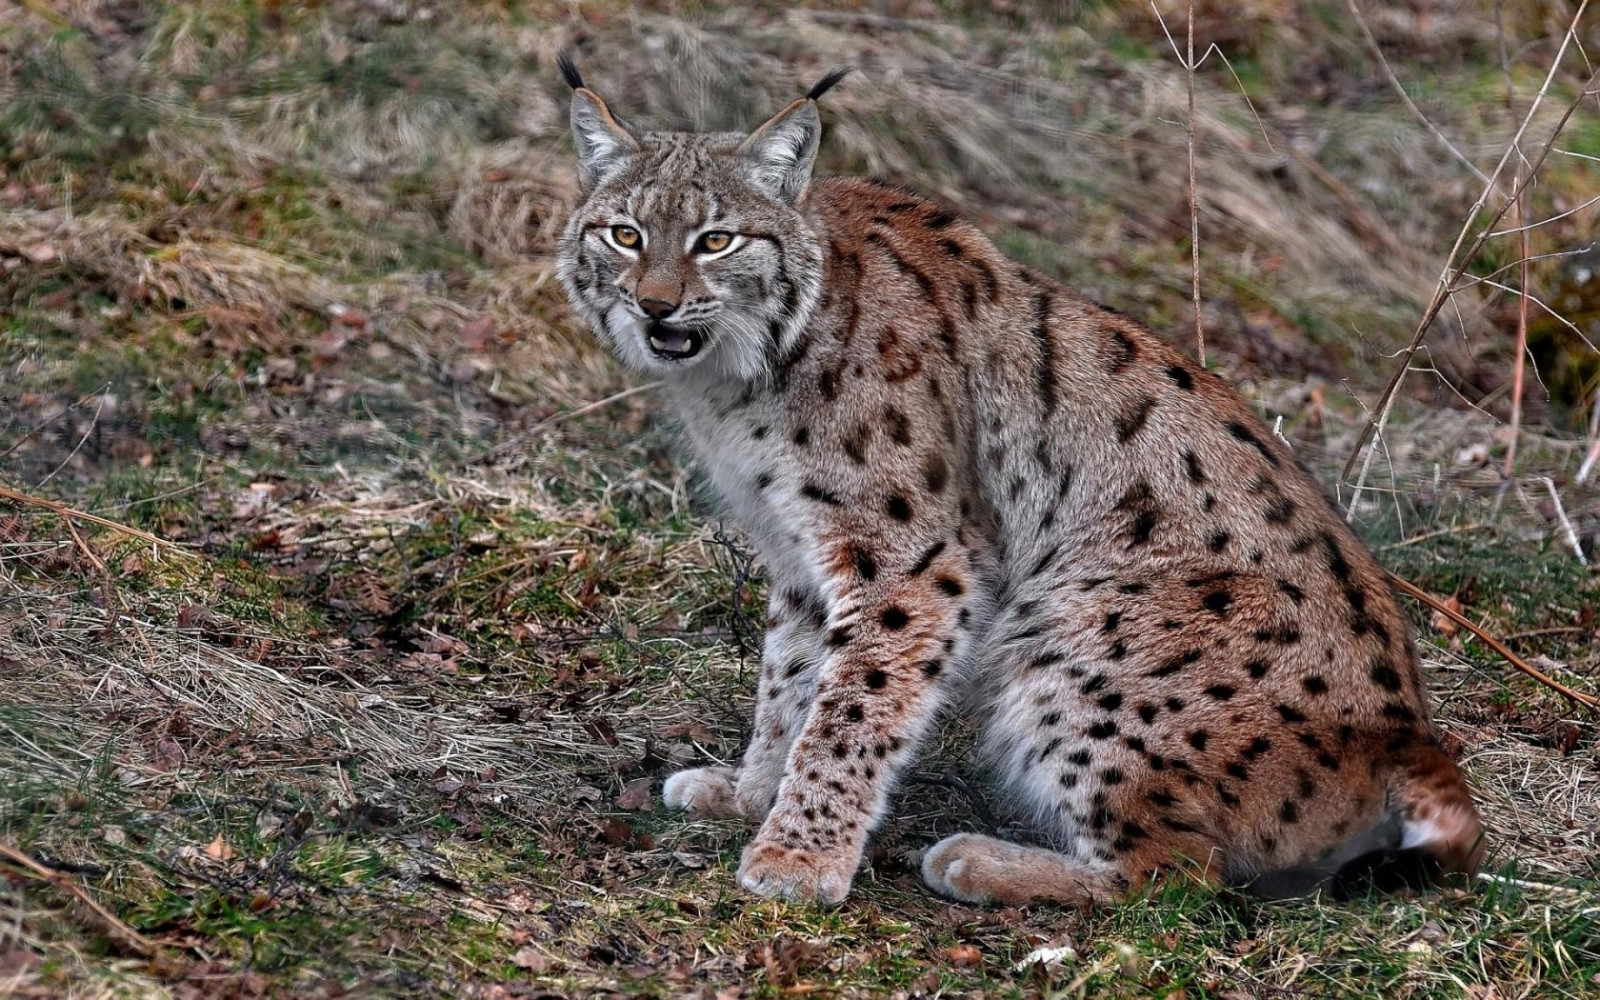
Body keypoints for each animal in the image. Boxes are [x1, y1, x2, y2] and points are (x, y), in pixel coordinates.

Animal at [553, 56, 1484, 908]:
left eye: (718, 240)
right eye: (625, 235)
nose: (656, 306)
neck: (751, 363)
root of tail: (1412, 735)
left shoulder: (913, 558)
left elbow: (852, 708)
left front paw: (799, 857)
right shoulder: (797, 549)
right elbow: (788, 680)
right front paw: (751, 795)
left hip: (1075, 615)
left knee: (1179, 873)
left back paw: (979, 861)